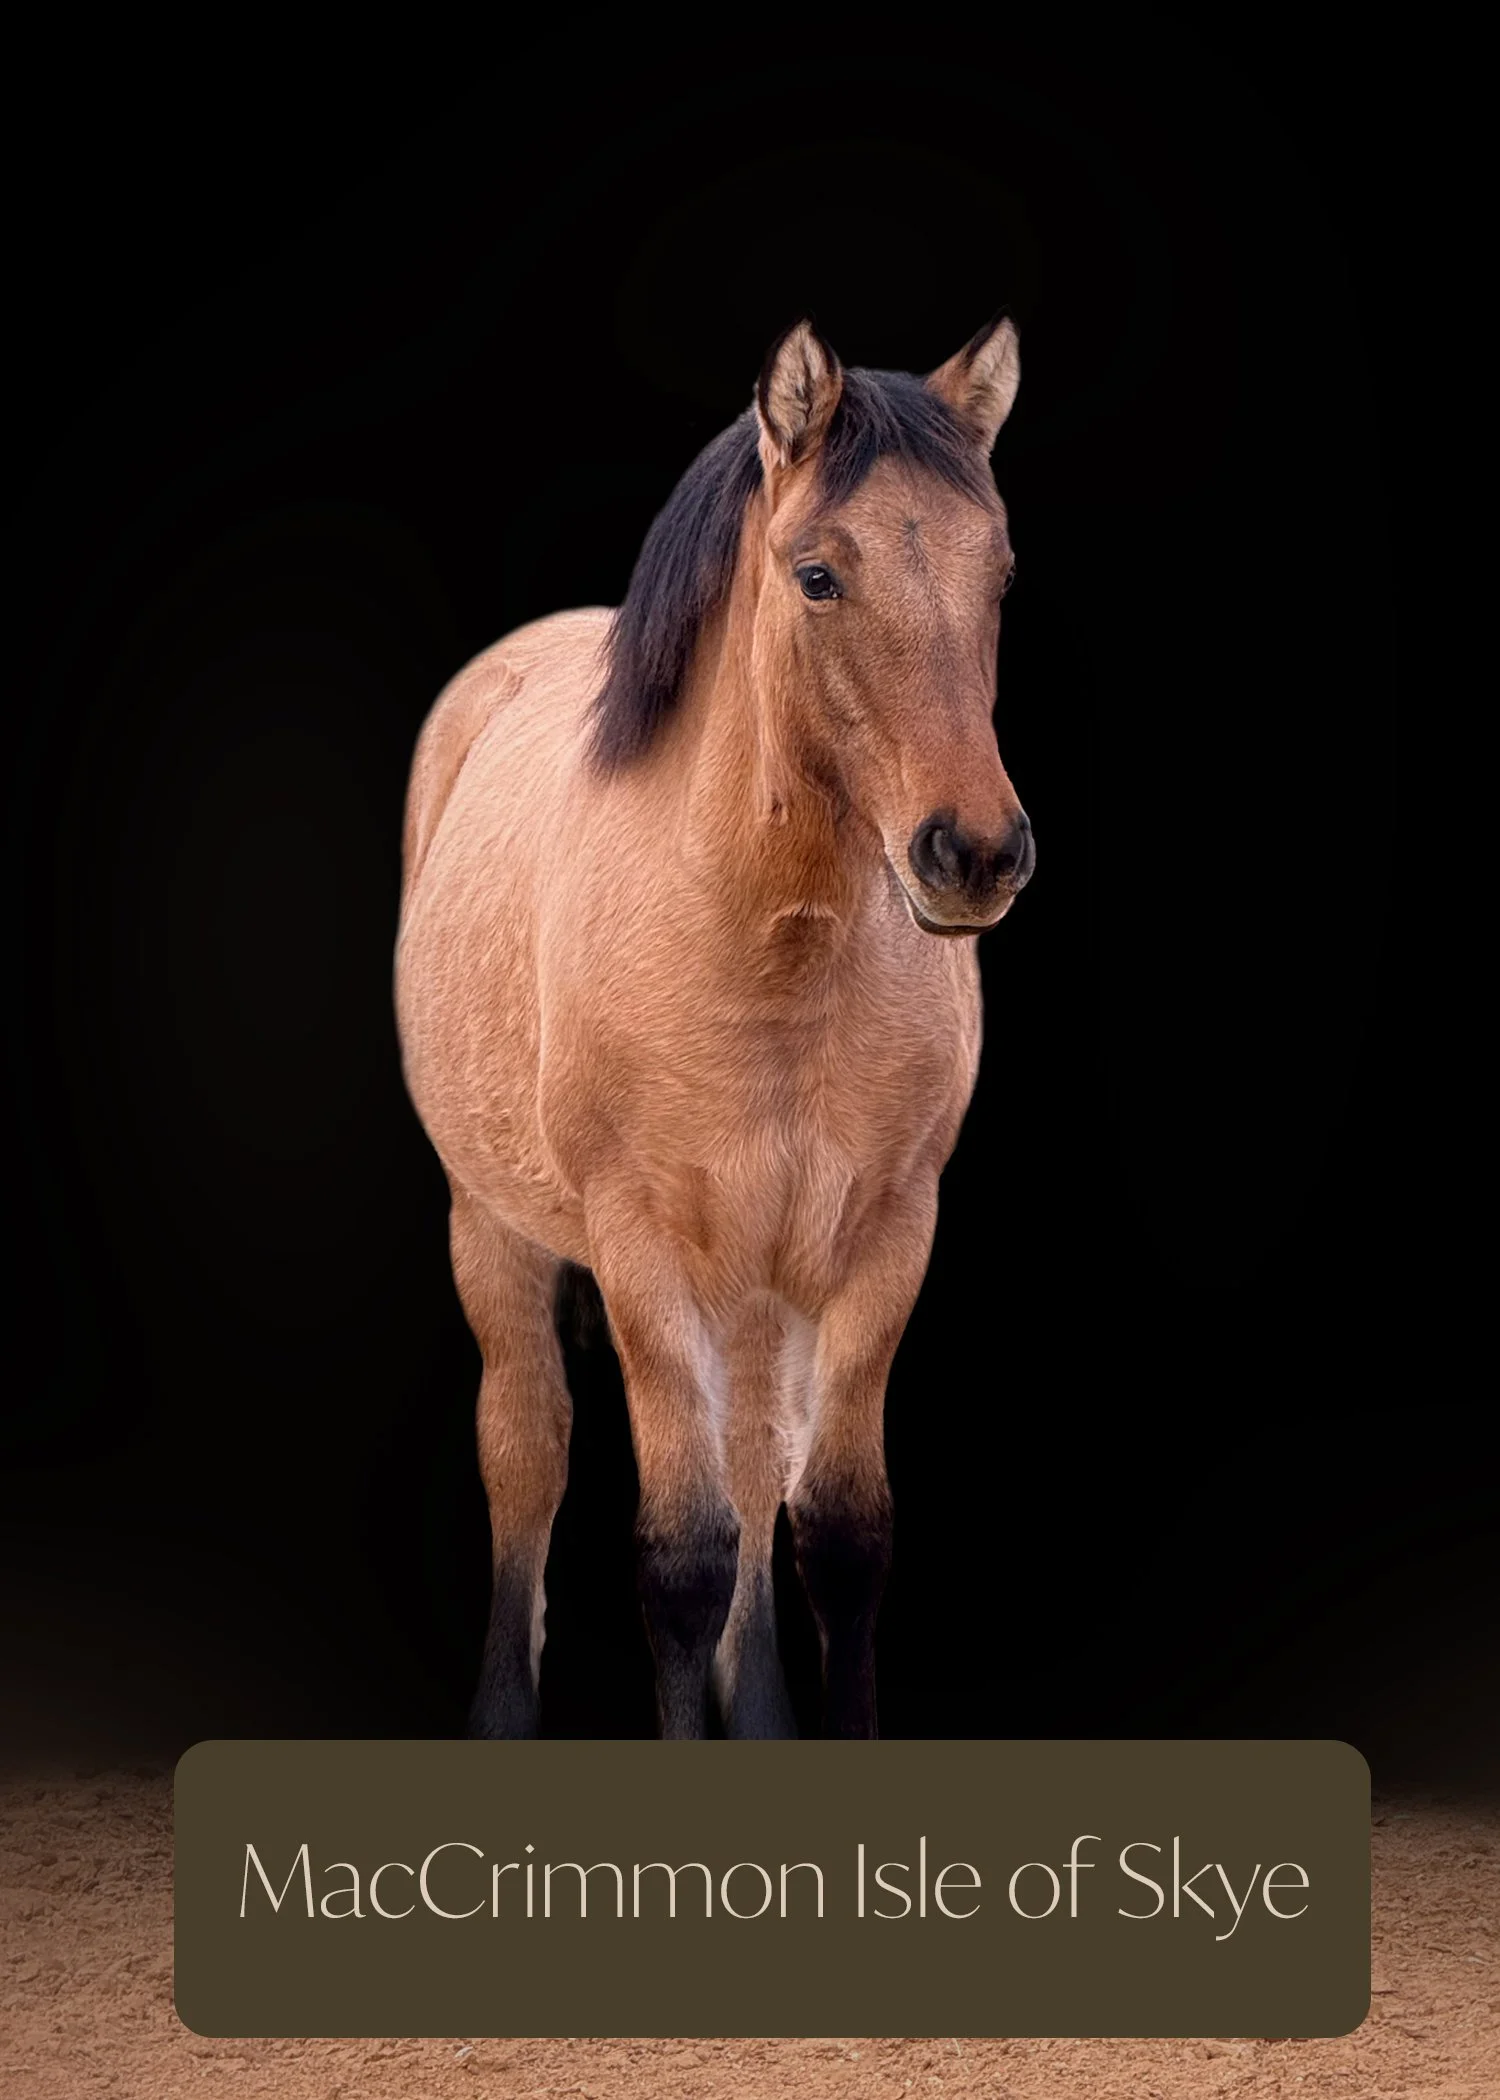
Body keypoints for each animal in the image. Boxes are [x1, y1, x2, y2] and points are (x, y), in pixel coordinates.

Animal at [395, 314, 1035, 1740]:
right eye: (819, 577)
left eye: (1002, 575)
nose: (973, 854)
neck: (760, 940)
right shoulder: (641, 1248)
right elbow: (681, 1559)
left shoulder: (887, 1235)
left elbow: (840, 1535)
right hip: (498, 1232)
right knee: (528, 1456)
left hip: (759, 1286)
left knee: (757, 1473)